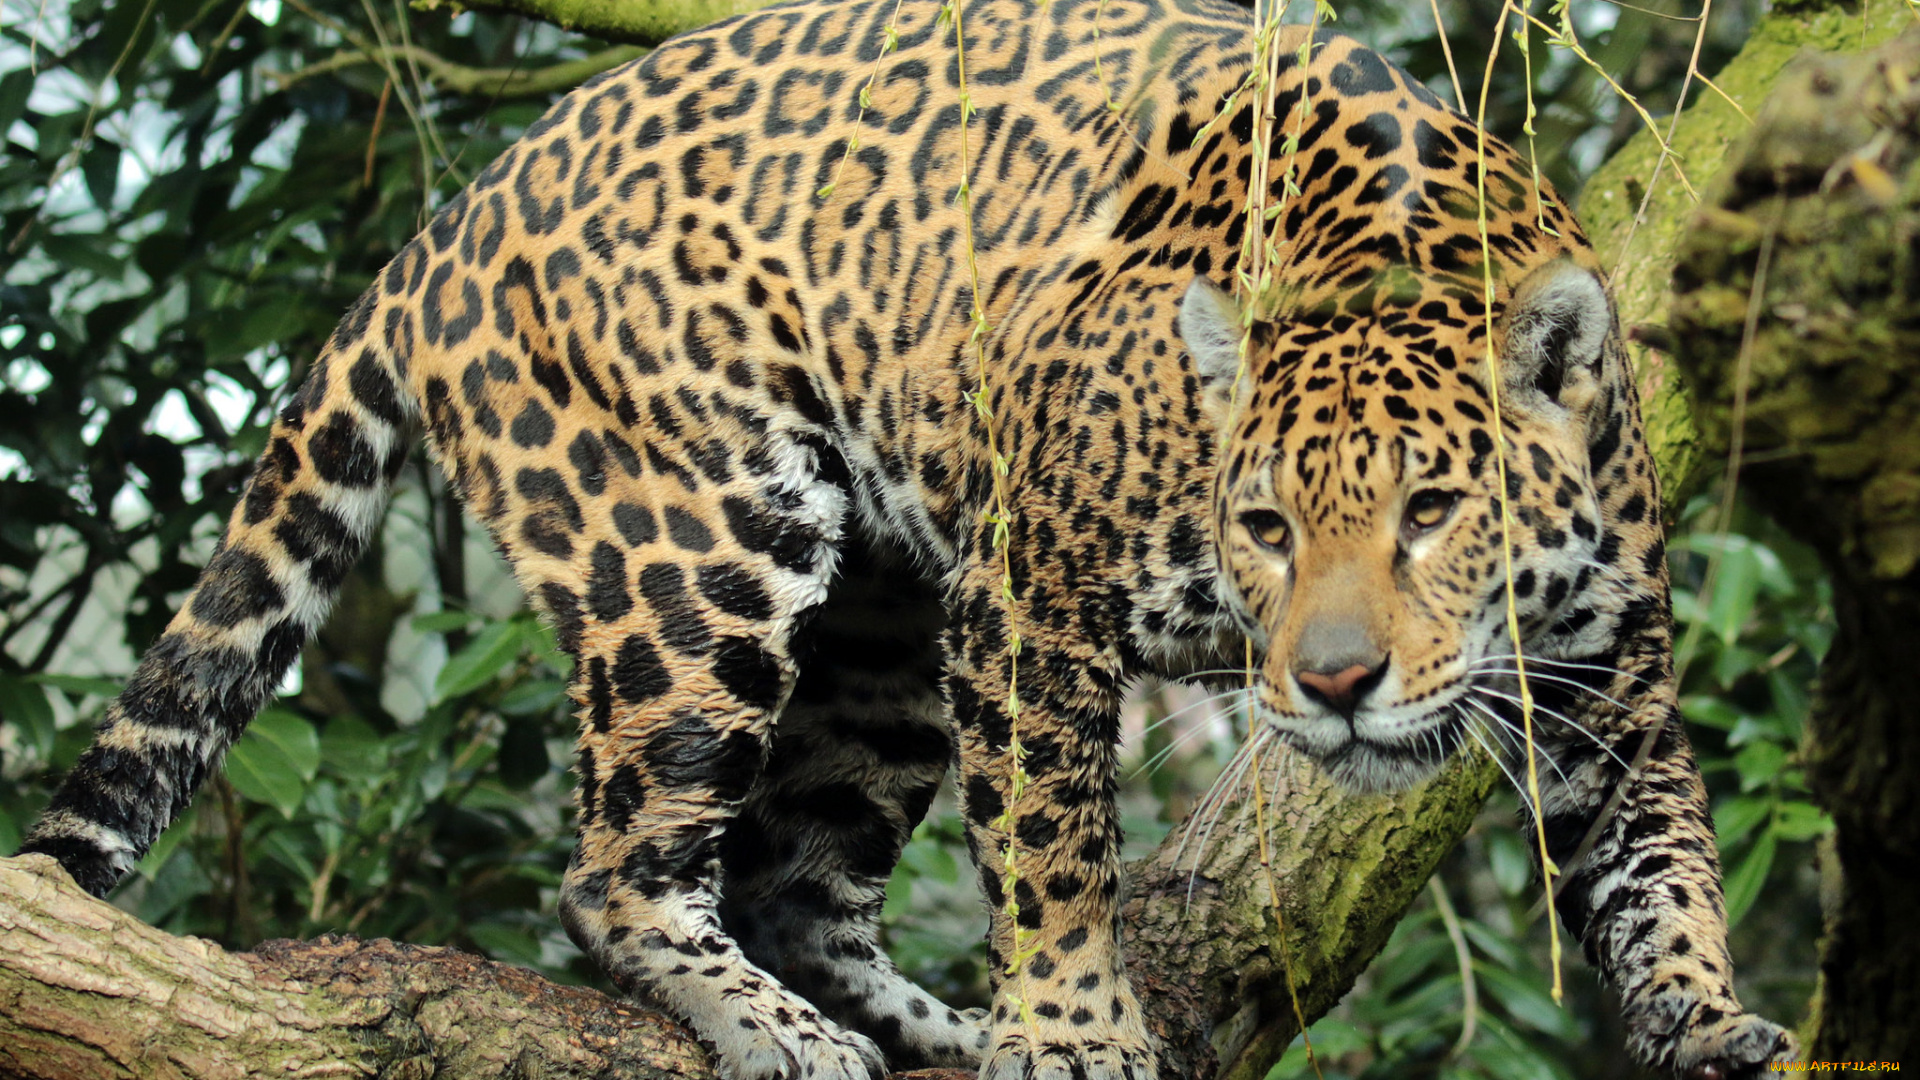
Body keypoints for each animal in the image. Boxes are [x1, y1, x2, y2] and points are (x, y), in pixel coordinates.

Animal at [16, 0, 1793, 1077]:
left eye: (1433, 511)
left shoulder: (1617, 679)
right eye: (1267, 527)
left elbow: (1665, 861)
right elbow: (1053, 842)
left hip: (879, 632)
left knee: (796, 878)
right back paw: (791, 1029)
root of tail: (453, 216)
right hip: (700, 551)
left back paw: (932, 1026)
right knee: (619, 870)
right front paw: (1076, 1030)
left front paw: (1708, 1017)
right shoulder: (1028, 594)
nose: (1336, 685)